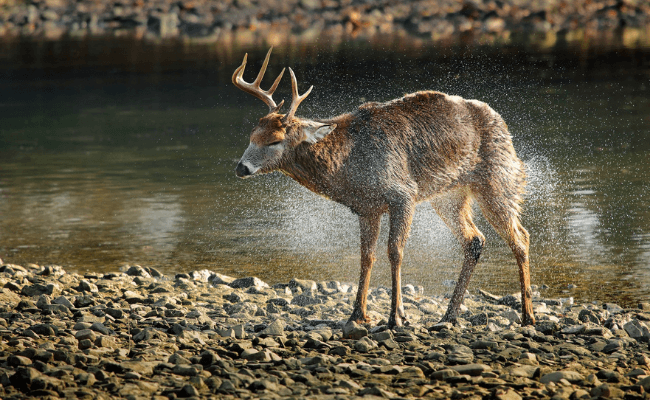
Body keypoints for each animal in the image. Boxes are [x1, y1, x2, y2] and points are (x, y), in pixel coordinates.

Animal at [230, 47, 536, 328]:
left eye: (275, 140)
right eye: (252, 135)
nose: (241, 168)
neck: (349, 168)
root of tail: (501, 122)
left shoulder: (403, 193)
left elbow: (395, 251)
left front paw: (396, 316)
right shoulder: (367, 208)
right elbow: (367, 256)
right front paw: (357, 314)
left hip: (498, 178)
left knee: (521, 236)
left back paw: (528, 316)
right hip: (449, 196)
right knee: (474, 239)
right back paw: (448, 316)